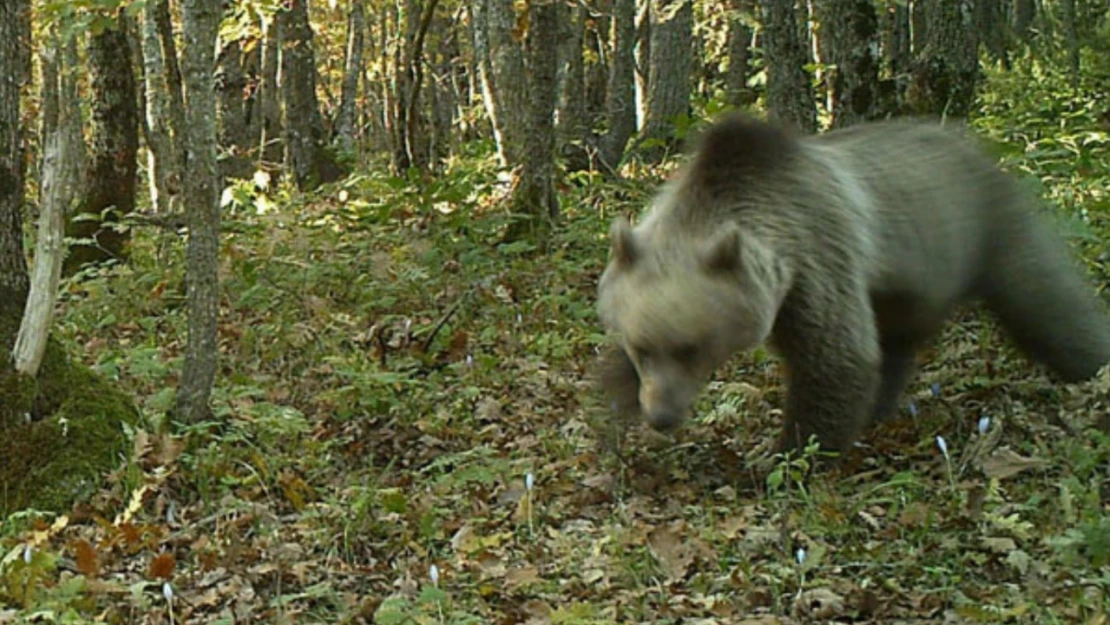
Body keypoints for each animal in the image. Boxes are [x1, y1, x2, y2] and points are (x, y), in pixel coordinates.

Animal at [599, 113, 1110, 455]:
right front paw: (613, 398)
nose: (661, 416)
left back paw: (1090, 366)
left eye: (694, 348)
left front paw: (784, 453)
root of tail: (976, 145)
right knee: (898, 344)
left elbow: (836, 359)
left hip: (991, 227)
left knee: (1046, 302)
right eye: (642, 347)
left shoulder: (816, 264)